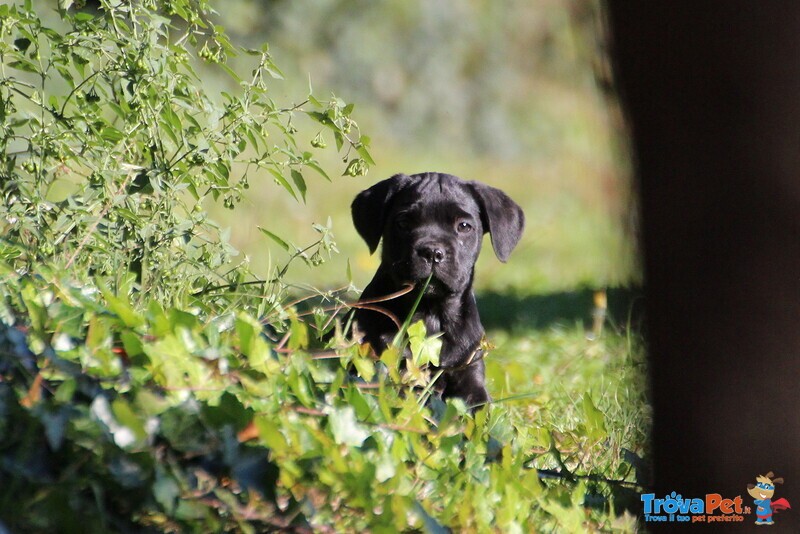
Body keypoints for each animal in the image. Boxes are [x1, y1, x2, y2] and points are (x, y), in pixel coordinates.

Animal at [352, 174, 524, 408]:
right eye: (403, 223)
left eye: (464, 226)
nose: (432, 252)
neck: (431, 313)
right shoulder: (396, 370)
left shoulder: (470, 373)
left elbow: (480, 408)